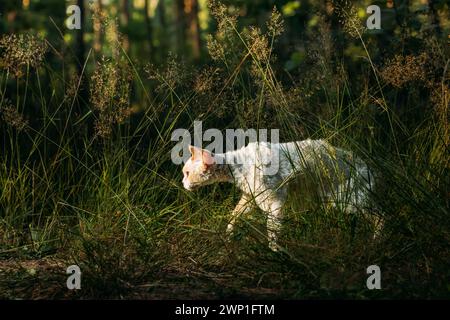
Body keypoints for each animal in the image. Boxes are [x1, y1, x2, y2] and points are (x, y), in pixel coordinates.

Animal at [183, 139, 376, 251]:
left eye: (186, 173)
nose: (182, 182)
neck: (238, 166)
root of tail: (365, 165)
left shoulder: (275, 201)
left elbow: (272, 230)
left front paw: (274, 253)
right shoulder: (250, 198)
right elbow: (234, 216)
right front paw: (229, 236)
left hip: (349, 199)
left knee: (379, 216)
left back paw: (377, 241)